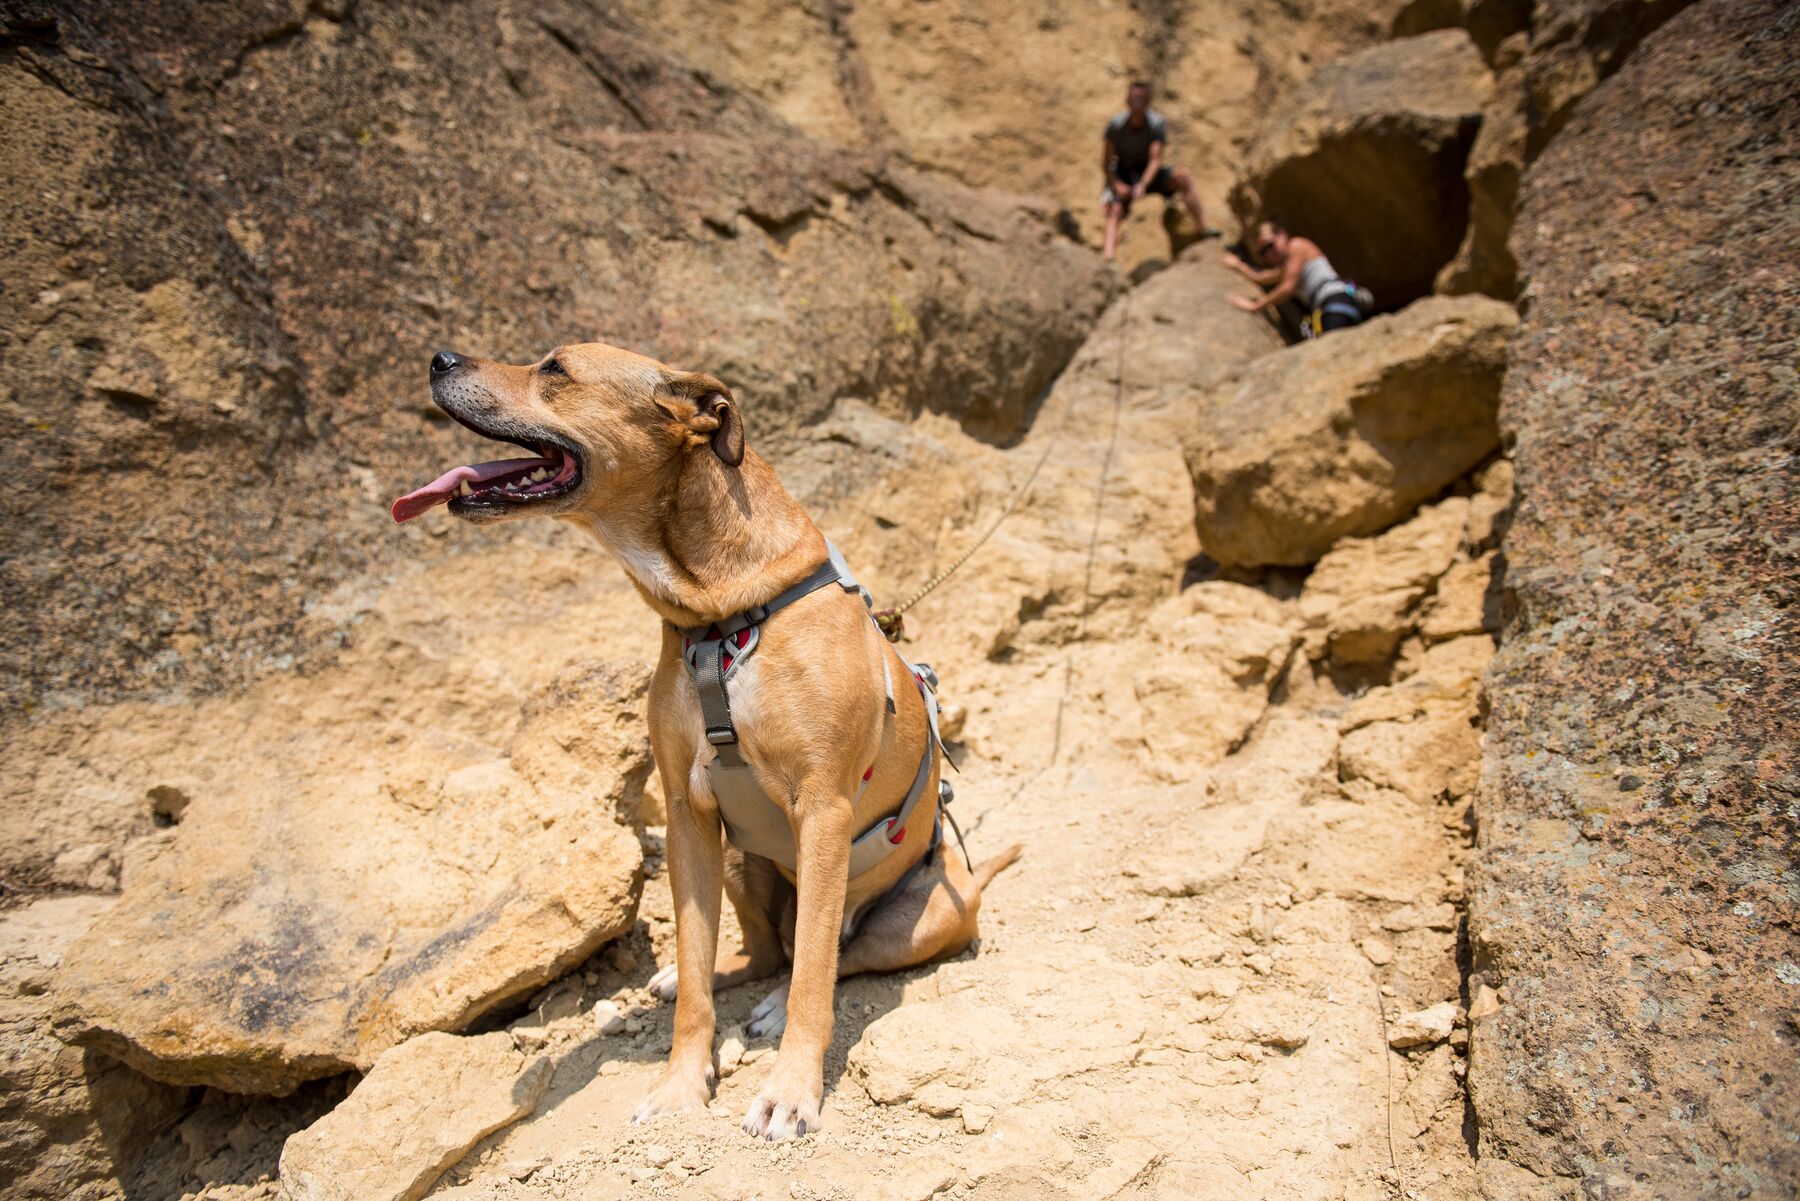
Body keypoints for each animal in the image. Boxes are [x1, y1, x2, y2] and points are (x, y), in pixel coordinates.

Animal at [392, 345, 1015, 1137]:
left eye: (554, 368)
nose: (439, 358)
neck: (721, 617)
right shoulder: (690, 821)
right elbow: (696, 970)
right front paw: (682, 1083)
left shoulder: (825, 812)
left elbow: (815, 976)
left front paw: (790, 1091)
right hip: (743, 860)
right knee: (764, 951)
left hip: (926, 915)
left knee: (831, 953)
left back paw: (780, 1003)